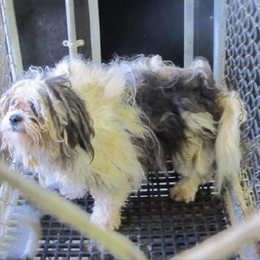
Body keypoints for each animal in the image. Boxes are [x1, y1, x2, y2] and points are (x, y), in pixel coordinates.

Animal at [0, 54, 246, 230]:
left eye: (34, 108)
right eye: (13, 104)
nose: (13, 118)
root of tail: (209, 87)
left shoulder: (115, 168)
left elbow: (107, 201)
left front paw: (102, 223)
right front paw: (75, 191)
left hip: (190, 140)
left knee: (201, 170)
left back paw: (184, 189)